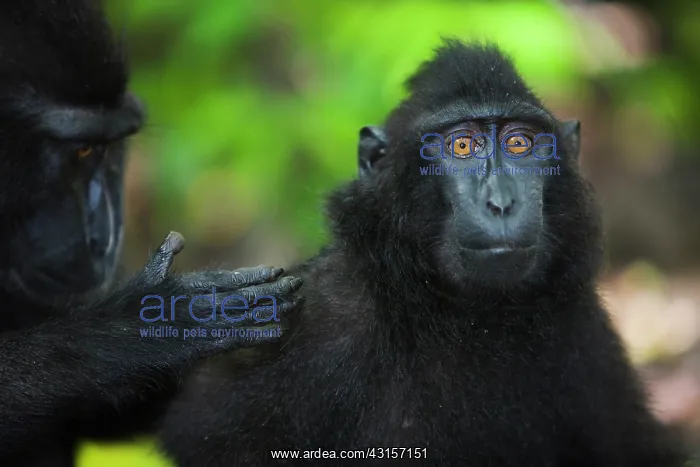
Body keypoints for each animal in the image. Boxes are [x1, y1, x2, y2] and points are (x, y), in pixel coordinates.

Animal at [156, 40, 687, 466]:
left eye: (519, 143)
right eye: (462, 146)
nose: (500, 202)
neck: (459, 316)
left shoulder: (585, 330)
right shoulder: (319, 320)